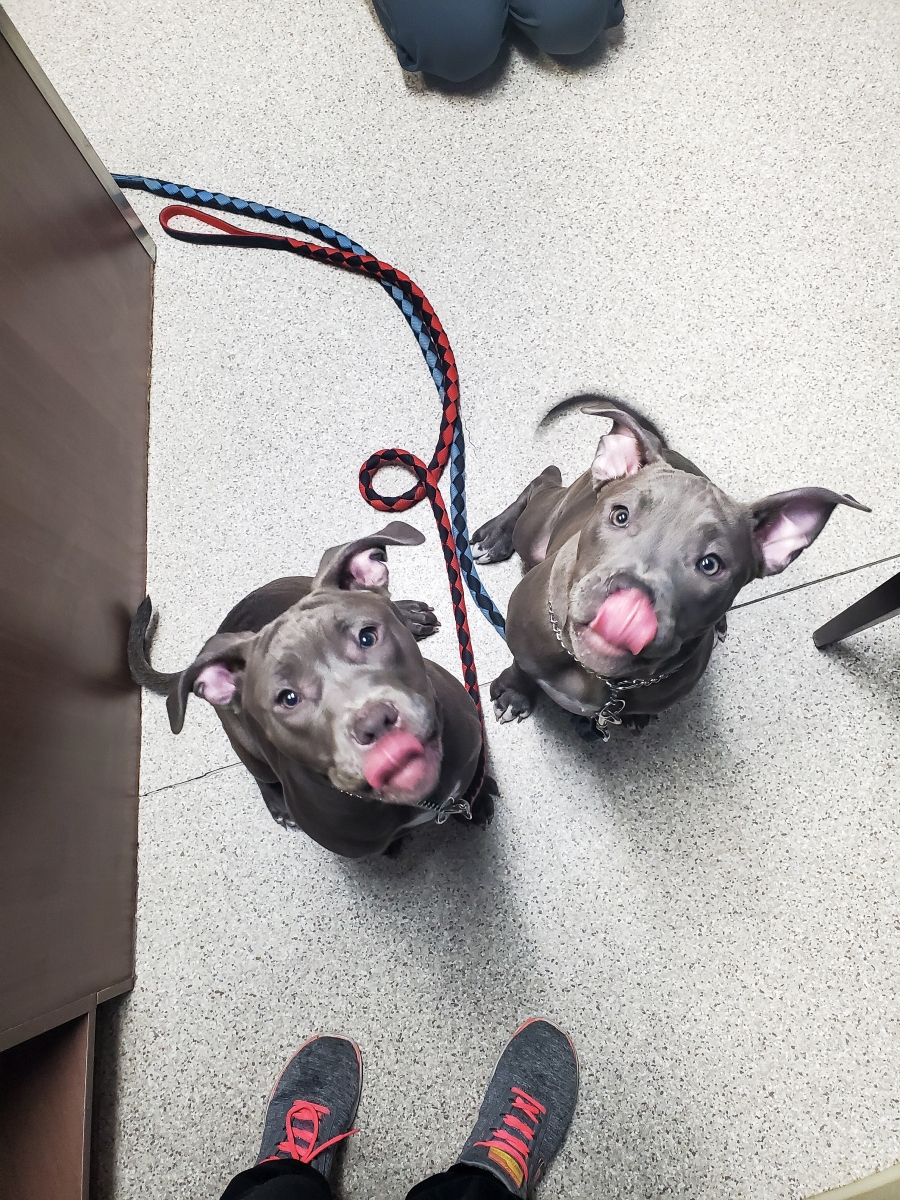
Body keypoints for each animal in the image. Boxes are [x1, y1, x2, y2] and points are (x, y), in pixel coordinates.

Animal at [129, 522, 493, 857]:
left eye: (367, 636)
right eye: (288, 698)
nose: (374, 723)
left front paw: (481, 799)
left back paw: (409, 613)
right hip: (244, 742)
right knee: (261, 773)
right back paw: (277, 805)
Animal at [471, 396, 869, 736]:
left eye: (710, 564)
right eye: (620, 516)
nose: (632, 598)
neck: (602, 679)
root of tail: (665, 448)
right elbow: (521, 665)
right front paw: (514, 692)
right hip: (535, 530)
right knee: (544, 478)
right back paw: (494, 536)